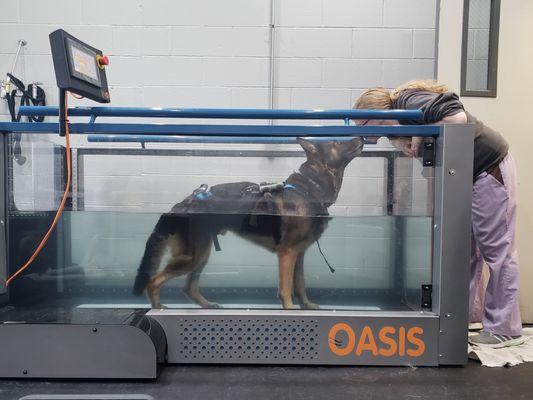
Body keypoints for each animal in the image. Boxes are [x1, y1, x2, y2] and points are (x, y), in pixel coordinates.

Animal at [133, 138, 364, 310]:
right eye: (336, 141)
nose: (361, 137)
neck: (308, 189)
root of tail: (181, 204)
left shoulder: (299, 254)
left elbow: (300, 284)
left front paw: (306, 306)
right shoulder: (288, 254)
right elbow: (286, 288)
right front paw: (290, 310)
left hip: (202, 254)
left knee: (189, 287)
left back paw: (207, 305)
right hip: (193, 256)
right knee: (153, 281)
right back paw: (158, 307)